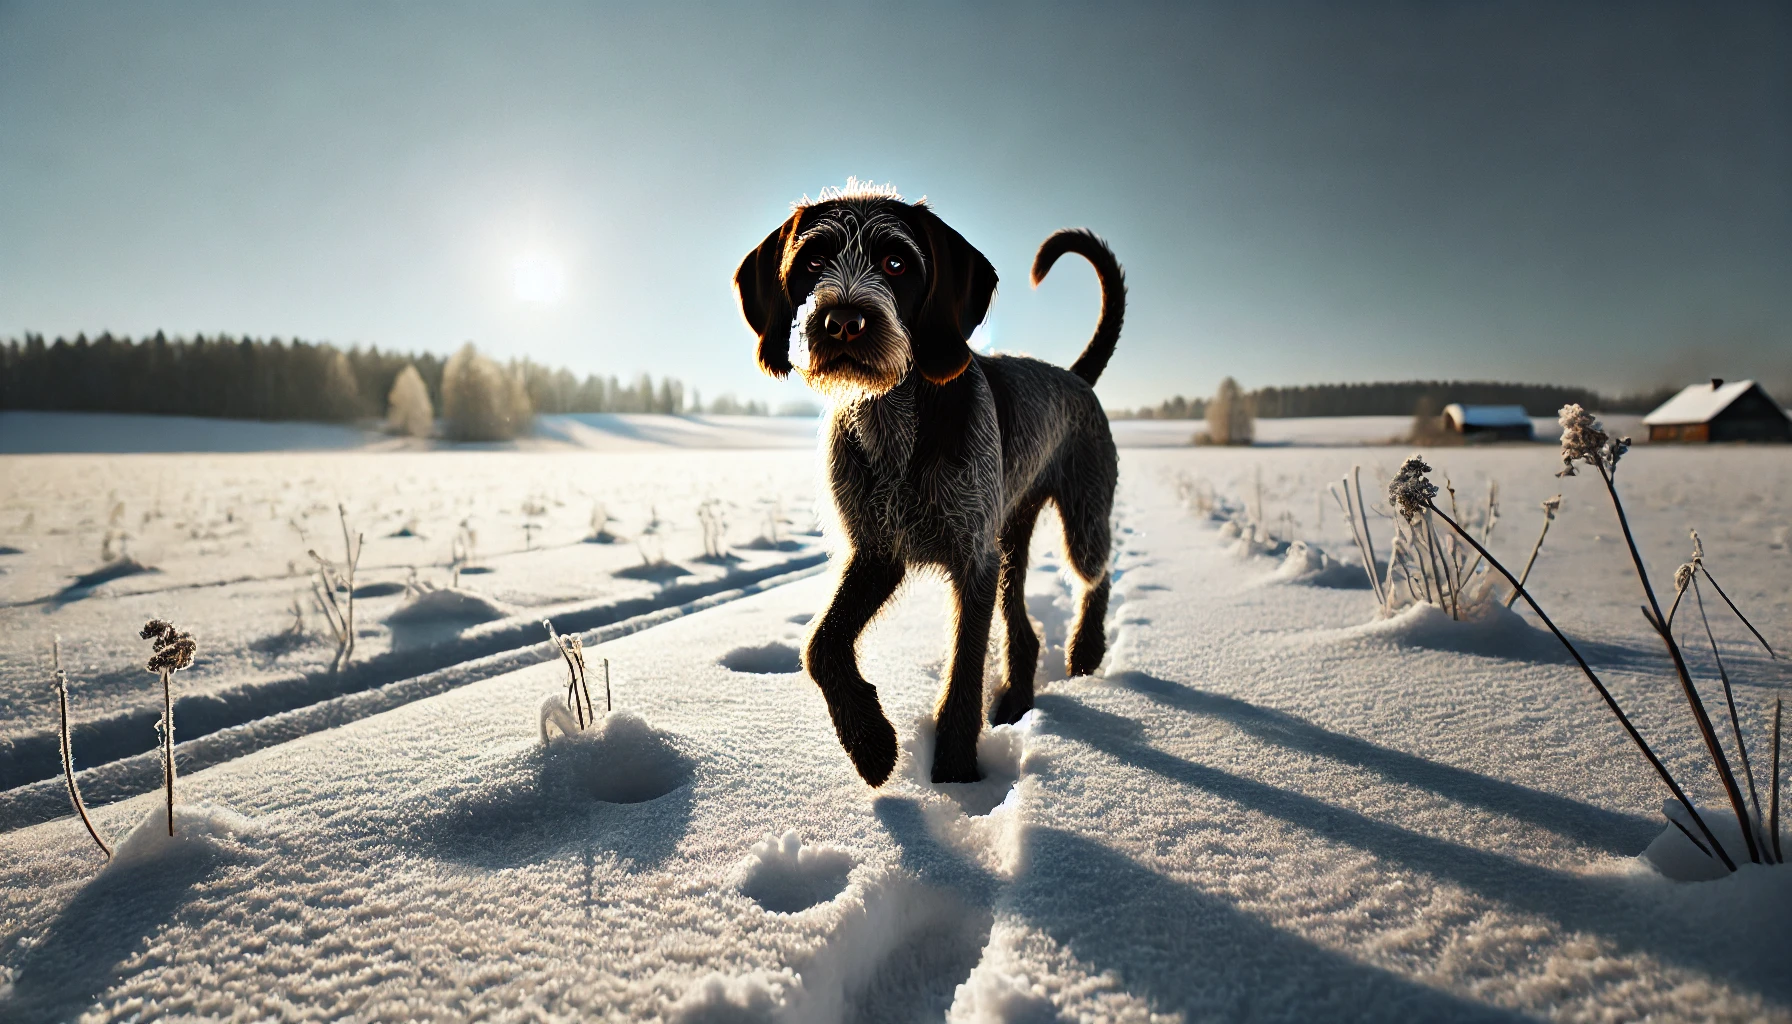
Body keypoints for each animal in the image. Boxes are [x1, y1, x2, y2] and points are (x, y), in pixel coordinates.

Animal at [727, 184, 1118, 789]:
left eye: (897, 262)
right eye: (812, 261)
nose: (843, 321)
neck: (893, 426)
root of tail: (1076, 378)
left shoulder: (972, 559)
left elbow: (963, 670)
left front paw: (954, 768)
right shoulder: (876, 553)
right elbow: (820, 644)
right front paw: (869, 741)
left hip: (1081, 518)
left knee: (1096, 575)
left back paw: (1086, 649)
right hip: (1010, 540)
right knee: (1023, 629)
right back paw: (1016, 700)